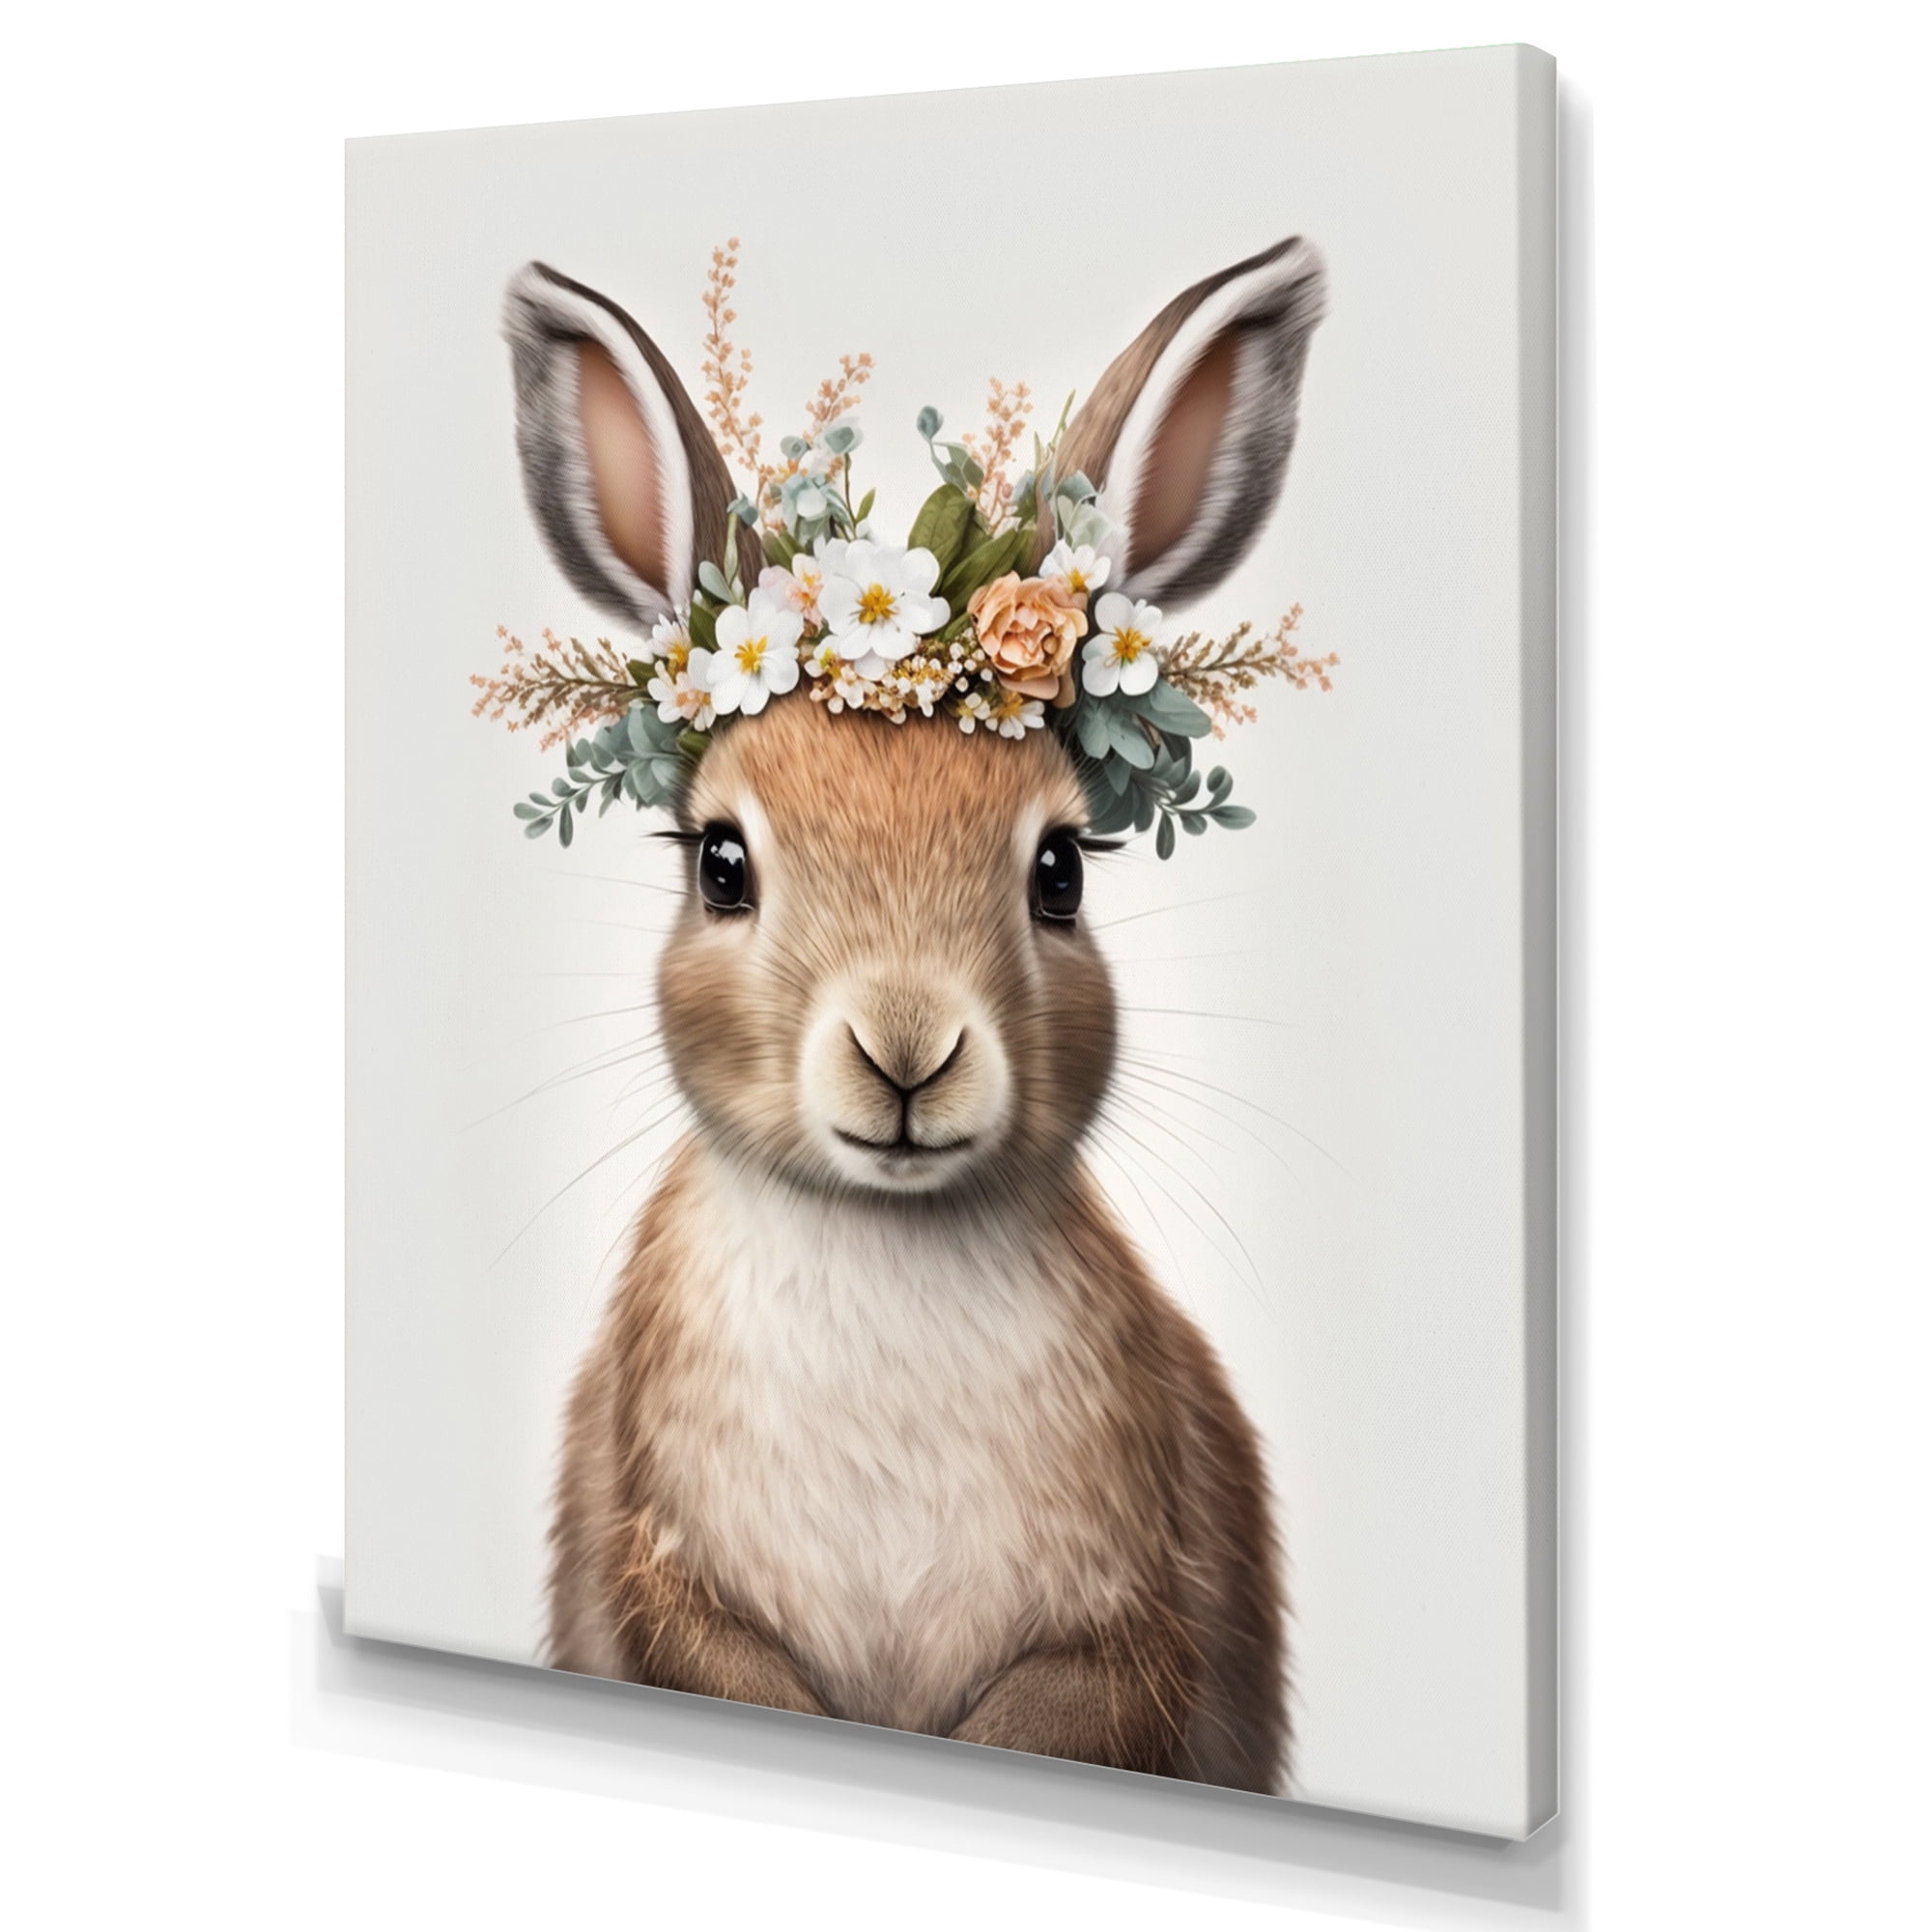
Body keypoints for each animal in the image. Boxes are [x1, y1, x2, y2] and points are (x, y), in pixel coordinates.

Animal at [502, 236, 1326, 1793]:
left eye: (1061, 873)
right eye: (722, 863)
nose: (906, 1050)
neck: (884, 1242)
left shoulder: (1126, 1630)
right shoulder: (670, 1579)